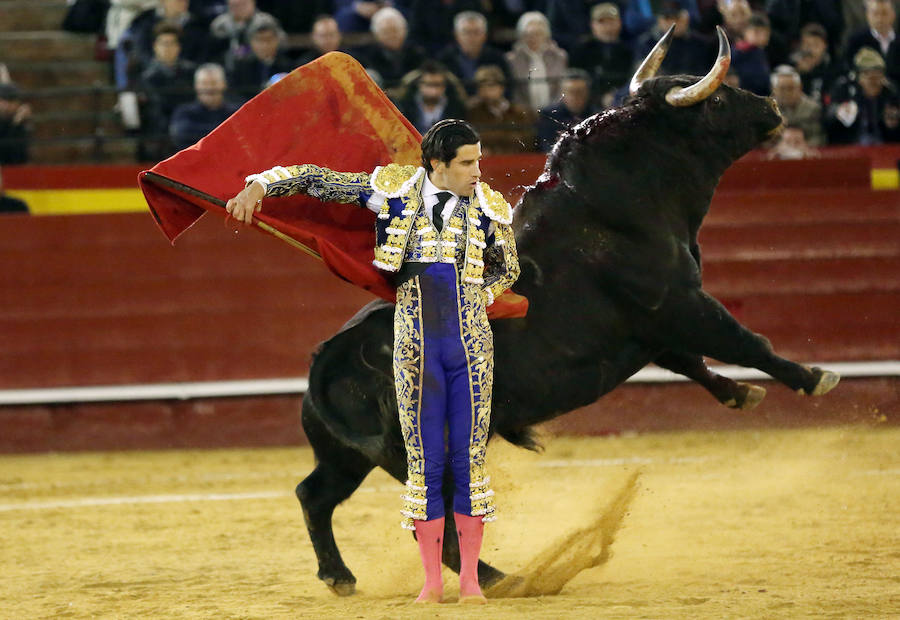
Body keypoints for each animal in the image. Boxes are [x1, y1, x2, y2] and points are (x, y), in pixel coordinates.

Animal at [294, 30, 836, 596]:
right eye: (718, 100)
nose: (772, 104)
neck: (618, 203)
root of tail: (328, 358)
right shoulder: (681, 303)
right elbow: (746, 342)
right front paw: (814, 378)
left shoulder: (656, 331)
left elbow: (695, 363)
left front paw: (742, 394)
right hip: (422, 447)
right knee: (434, 520)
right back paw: (501, 579)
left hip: (347, 455)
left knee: (315, 494)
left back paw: (340, 575)